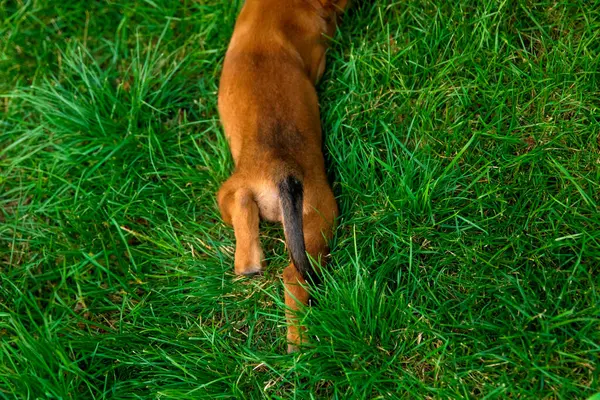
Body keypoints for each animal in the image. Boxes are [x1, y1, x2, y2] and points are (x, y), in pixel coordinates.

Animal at [216, 0, 346, 352]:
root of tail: (283, 171)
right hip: (318, 223)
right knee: (295, 279)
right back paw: (299, 341)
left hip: (230, 192)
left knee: (242, 209)